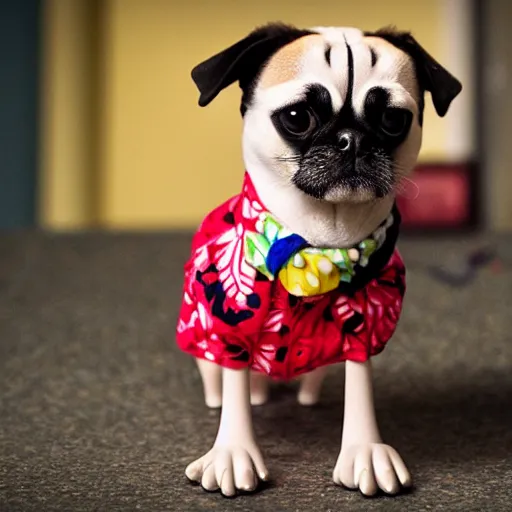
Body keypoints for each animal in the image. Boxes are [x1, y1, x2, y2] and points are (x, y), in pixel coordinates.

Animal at [177, 22, 464, 498]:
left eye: (392, 120)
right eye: (298, 117)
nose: (353, 139)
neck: (320, 244)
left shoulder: (366, 324)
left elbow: (360, 384)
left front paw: (365, 452)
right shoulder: (230, 325)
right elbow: (234, 383)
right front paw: (231, 453)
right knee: (216, 373)